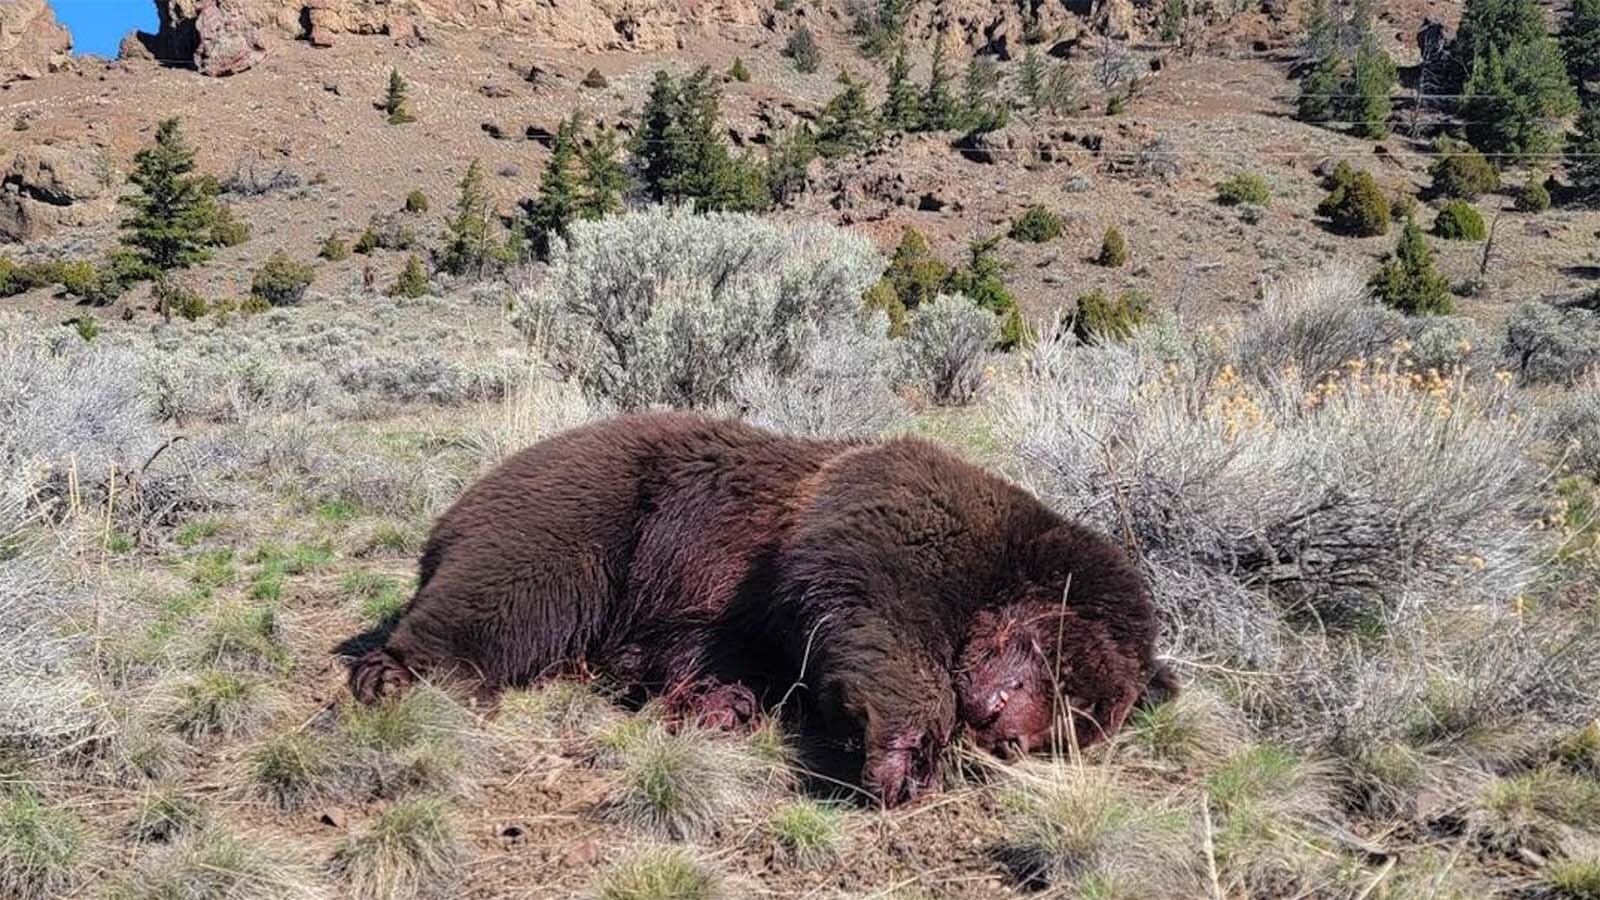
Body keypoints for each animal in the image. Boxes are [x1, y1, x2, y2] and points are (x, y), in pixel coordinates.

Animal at [341, 411, 1170, 806]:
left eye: (1080, 724)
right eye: (1057, 669)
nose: (1008, 732)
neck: (1005, 561)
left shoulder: (740, 620)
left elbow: (742, 655)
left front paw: (720, 704)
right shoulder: (893, 511)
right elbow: (871, 608)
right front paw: (905, 753)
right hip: (596, 508)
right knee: (514, 585)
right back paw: (400, 675)